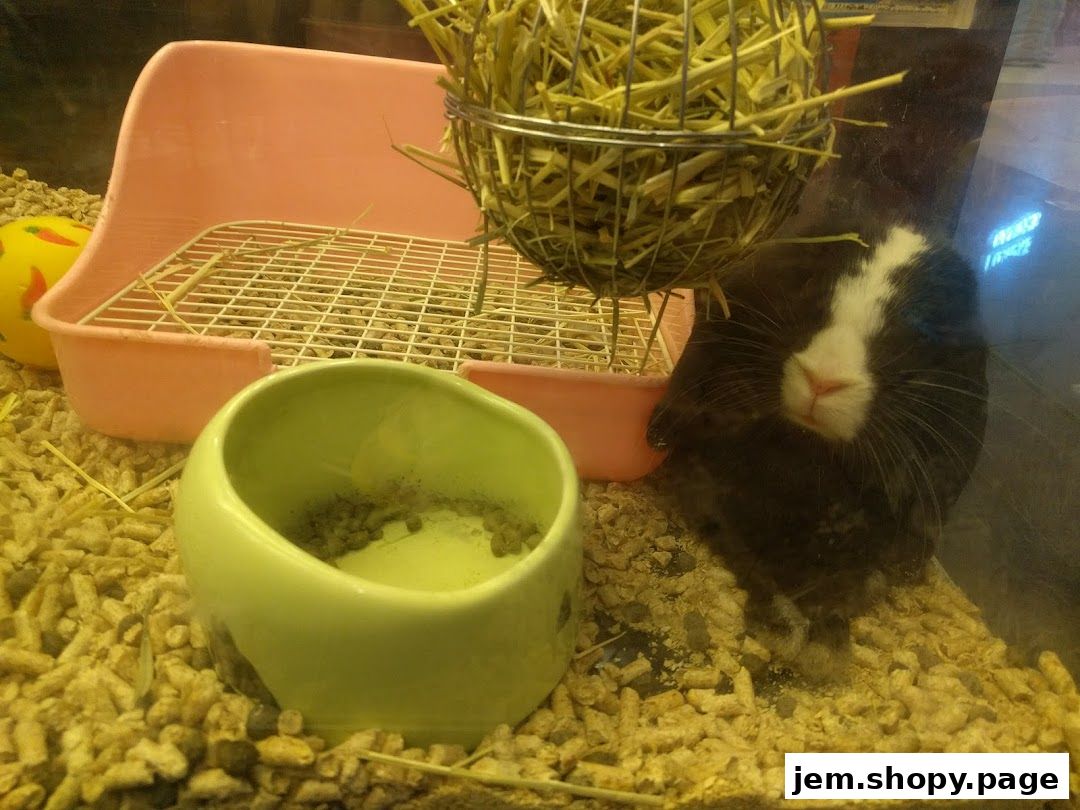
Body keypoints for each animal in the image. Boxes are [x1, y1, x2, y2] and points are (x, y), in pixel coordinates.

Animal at [647, 216, 989, 682]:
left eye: (913, 334)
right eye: (808, 291)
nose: (824, 380)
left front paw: (821, 639)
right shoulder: (711, 493)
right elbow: (752, 563)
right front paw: (795, 631)